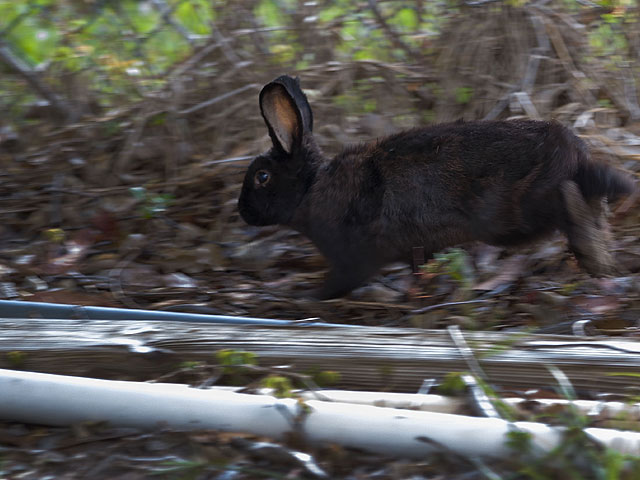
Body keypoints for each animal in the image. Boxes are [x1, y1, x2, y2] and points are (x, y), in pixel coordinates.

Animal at [236, 75, 636, 298]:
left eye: (262, 176)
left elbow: (341, 281)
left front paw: (309, 297)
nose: (241, 212)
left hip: (520, 210)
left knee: (570, 208)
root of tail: (576, 157)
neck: (312, 188)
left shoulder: (352, 256)